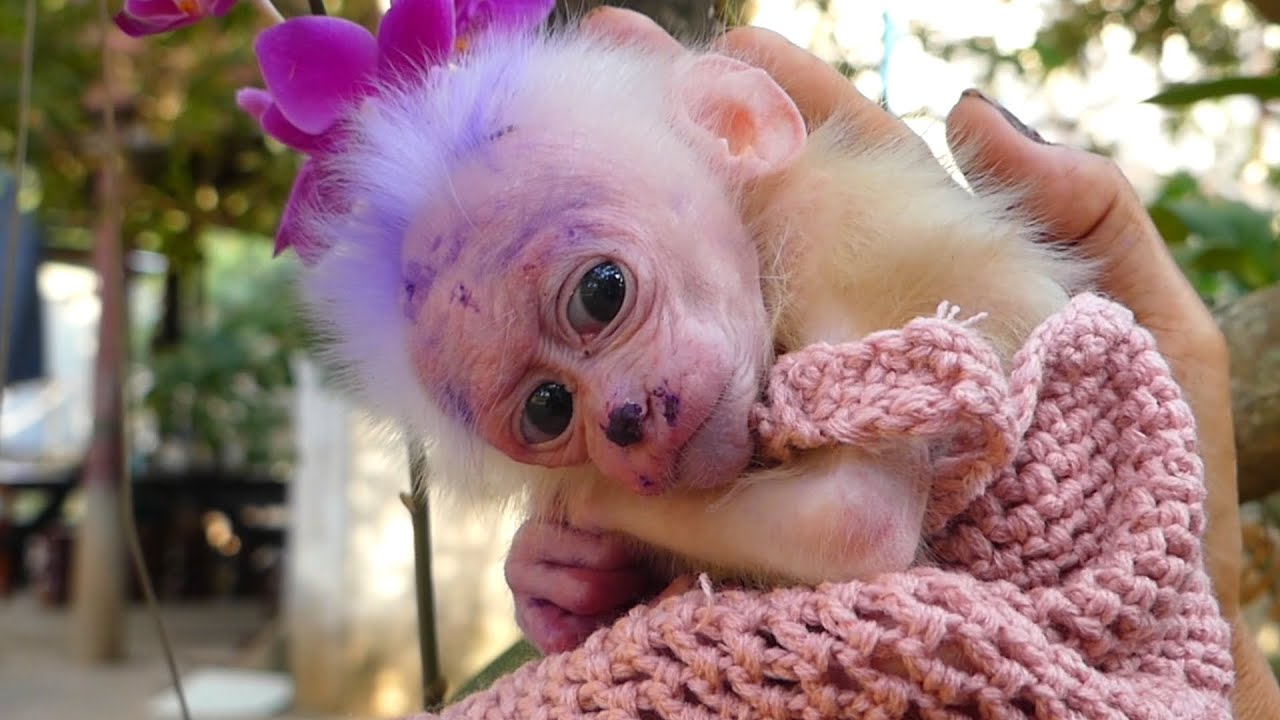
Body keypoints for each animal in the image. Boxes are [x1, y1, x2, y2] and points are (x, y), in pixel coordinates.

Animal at [289, 15, 1093, 655]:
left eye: (602, 293)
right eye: (548, 408)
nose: (623, 419)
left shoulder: (842, 250)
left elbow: (851, 519)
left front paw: (579, 509)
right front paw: (548, 579)